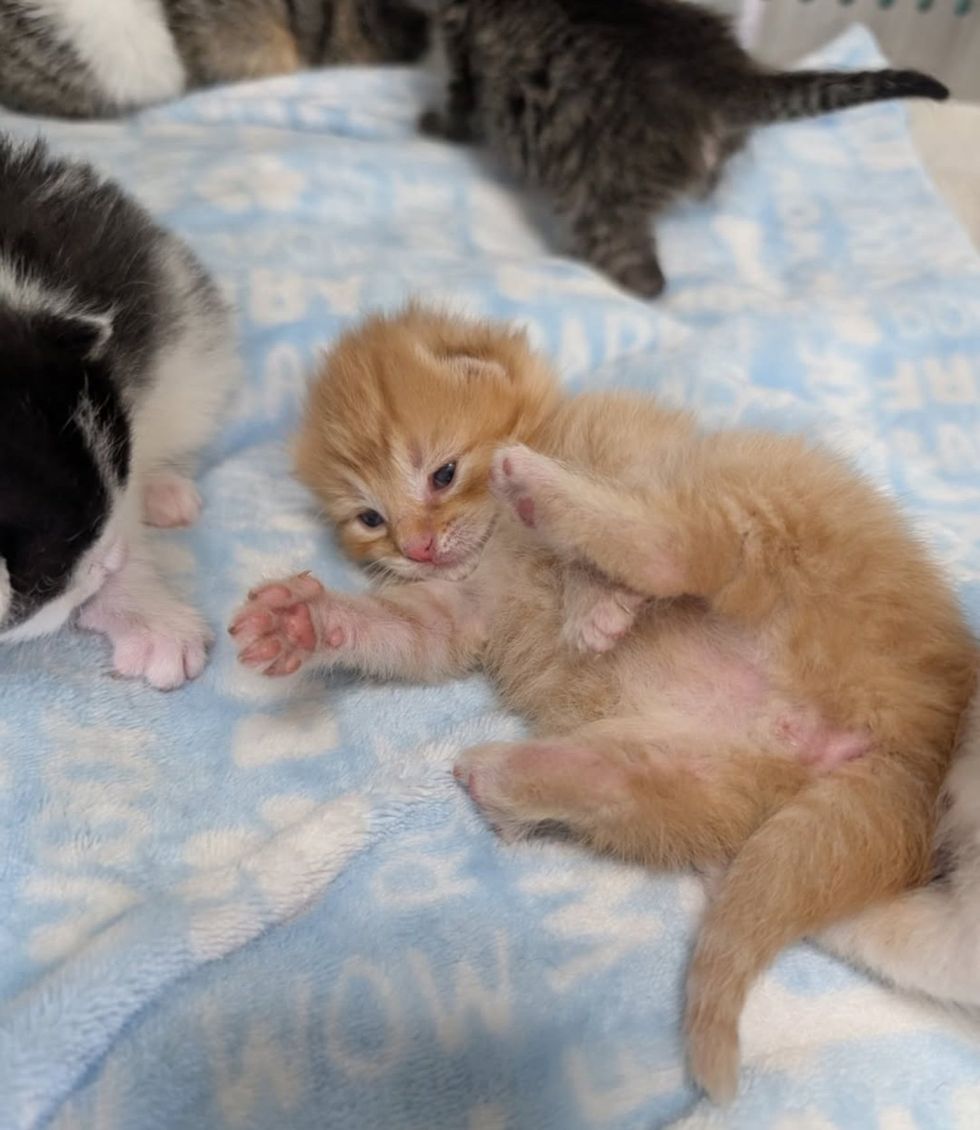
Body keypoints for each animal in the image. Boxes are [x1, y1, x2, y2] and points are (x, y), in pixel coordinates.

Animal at [228, 305, 972, 1098]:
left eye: (442, 473)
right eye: (370, 518)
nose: (418, 547)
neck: (493, 538)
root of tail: (913, 750)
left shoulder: (634, 444)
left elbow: (601, 523)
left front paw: (593, 603)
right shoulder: (456, 612)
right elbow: (403, 632)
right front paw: (302, 622)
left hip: (774, 491)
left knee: (682, 545)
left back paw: (541, 491)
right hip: (698, 772)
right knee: (627, 785)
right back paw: (504, 781)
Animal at [420, 0, 949, 298]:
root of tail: (725, 81)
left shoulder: (460, 36)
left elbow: (457, 101)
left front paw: (432, 126)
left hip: (598, 196)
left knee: (645, 279)